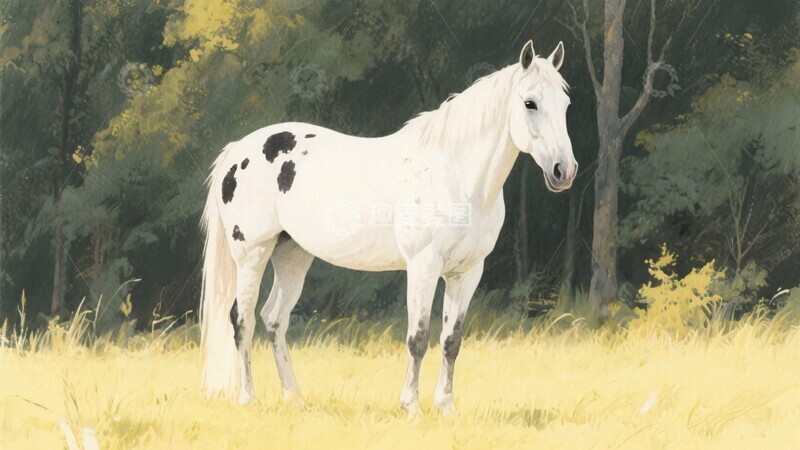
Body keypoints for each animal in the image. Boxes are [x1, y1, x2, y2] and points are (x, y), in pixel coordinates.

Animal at [199, 40, 577, 417]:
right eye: (530, 103)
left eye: (566, 104)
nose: (564, 171)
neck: (455, 175)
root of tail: (237, 150)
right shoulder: (423, 266)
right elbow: (418, 338)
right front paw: (412, 407)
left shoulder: (467, 272)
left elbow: (451, 340)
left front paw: (447, 407)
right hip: (252, 253)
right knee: (242, 319)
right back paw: (247, 397)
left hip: (293, 254)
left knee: (274, 319)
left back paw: (294, 397)